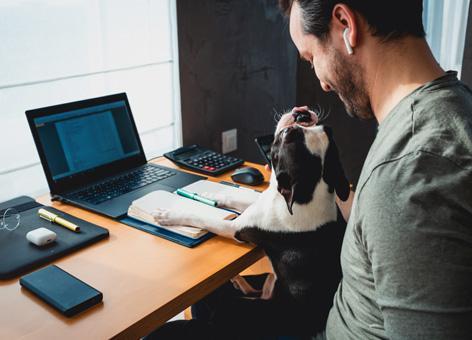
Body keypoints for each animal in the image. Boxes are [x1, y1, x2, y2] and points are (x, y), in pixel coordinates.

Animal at [153, 109, 348, 334]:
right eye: (325, 129)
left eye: (289, 137)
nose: (302, 115)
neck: (309, 192)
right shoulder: (261, 202)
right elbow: (235, 198)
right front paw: (211, 195)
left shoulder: (234, 227)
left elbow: (202, 217)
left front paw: (170, 215)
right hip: (268, 283)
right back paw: (237, 280)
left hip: (235, 310)